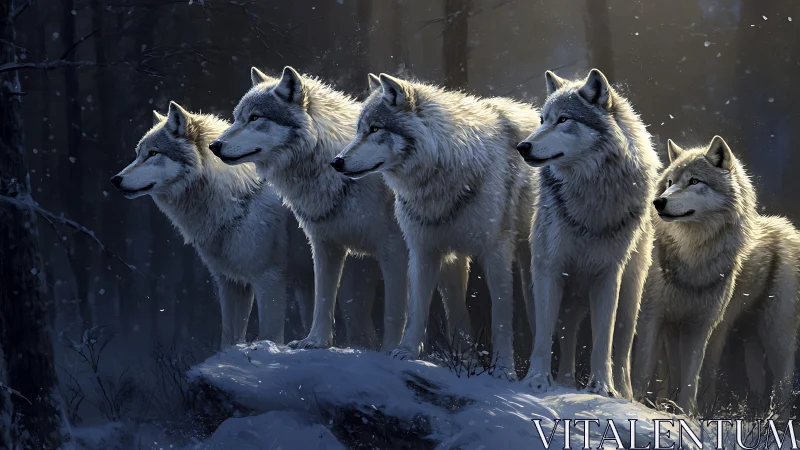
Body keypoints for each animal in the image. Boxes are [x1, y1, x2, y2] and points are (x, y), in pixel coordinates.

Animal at [111, 101, 315, 349]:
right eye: (138, 154)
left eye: (153, 153)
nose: (115, 180)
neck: (239, 200)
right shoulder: (230, 283)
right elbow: (228, 339)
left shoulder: (269, 280)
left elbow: (270, 335)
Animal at [209, 66, 418, 351]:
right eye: (236, 118)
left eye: (255, 118)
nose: (214, 145)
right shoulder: (325, 244)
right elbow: (323, 298)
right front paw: (315, 341)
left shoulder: (393, 249)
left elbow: (395, 310)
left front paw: (390, 351)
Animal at [333, 73, 539, 380]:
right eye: (358, 131)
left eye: (375, 129)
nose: (336, 162)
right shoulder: (423, 250)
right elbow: (418, 307)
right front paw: (405, 352)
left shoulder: (496, 252)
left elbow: (502, 318)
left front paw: (503, 370)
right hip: (454, 262)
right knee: (457, 312)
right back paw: (466, 361)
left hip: (529, 264)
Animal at [517, 69, 660, 398]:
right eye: (542, 120)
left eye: (563, 120)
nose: (523, 146)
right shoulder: (549, 268)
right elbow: (543, 336)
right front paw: (537, 381)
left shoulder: (609, 274)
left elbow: (603, 340)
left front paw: (603, 388)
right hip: (557, 292)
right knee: (566, 333)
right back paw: (565, 382)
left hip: (630, 296)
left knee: (622, 346)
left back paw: (625, 393)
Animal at [633, 136, 800, 414]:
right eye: (669, 183)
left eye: (694, 181)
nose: (658, 202)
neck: (693, 258)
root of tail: (788, 228)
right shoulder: (656, 318)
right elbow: (648, 371)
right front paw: (645, 405)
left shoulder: (700, 326)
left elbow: (691, 378)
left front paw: (684, 414)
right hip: (748, 341)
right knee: (758, 387)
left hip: (776, 337)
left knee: (783, 388)